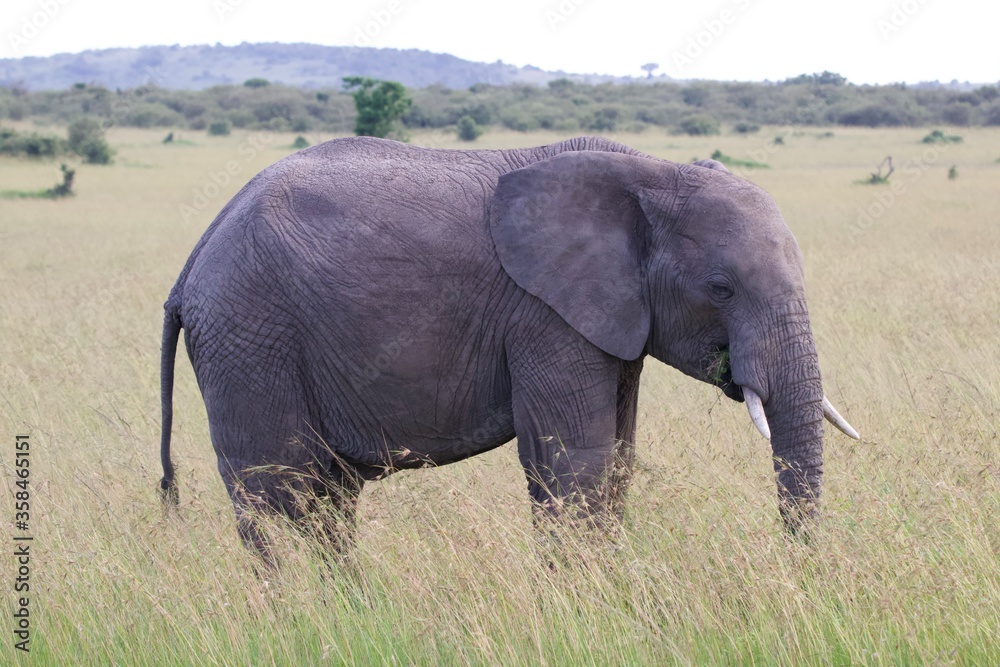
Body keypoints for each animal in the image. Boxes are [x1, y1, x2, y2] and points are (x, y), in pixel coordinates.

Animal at [159, 135, 859, 556]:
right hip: (249, 333)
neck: (651, 173)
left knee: (327, 498)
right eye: (721, 288)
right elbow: (574, 460)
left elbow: (618, 457)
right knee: (279, 489)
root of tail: (193, 259)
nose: (796, 570)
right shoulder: (544, 316)